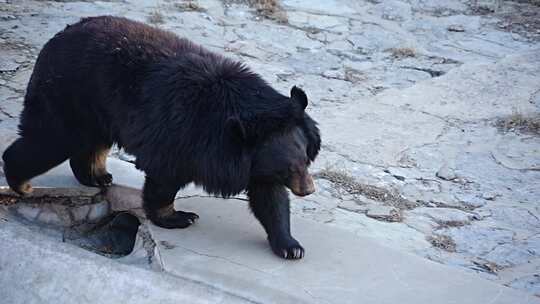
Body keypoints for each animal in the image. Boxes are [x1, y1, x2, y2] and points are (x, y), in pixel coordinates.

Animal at [2, 16, 318, 258]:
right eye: (289, 167)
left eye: (305, 160)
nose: (308, 189)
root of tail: (56, 37)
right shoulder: (185, 137)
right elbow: (165, 178)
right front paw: (179, 217)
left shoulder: (255, 160)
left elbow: (270, 199)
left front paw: (291, 247)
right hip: (68, 95)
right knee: (49, 140)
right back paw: (22, 184)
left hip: (96, 108)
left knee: (88, 143)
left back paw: (97, 177)